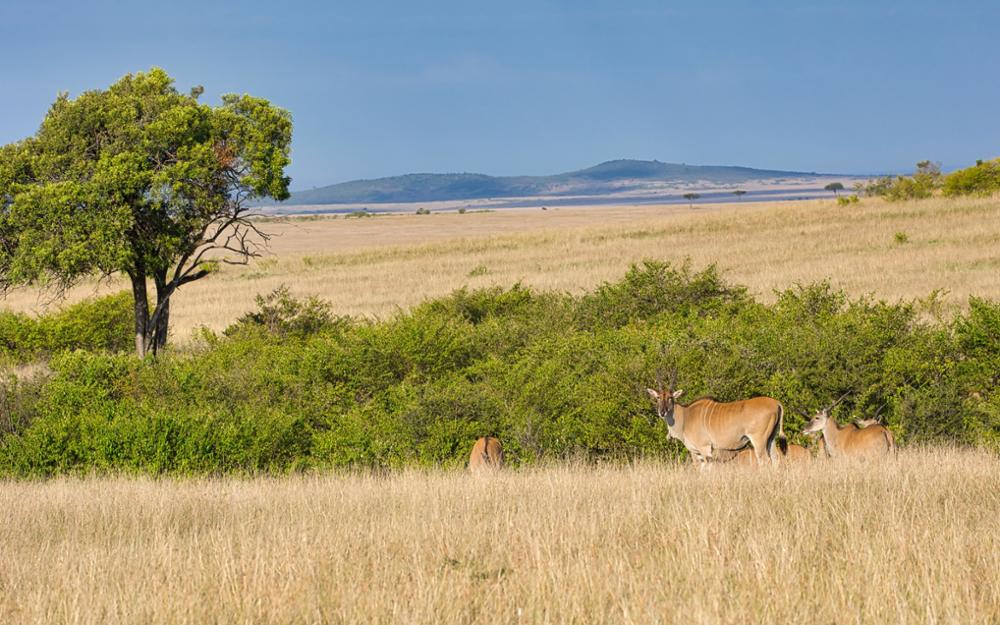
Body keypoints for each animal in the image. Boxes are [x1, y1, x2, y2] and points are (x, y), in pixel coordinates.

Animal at [644, 370, 784, 464]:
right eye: (658, 397)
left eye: (670, 398)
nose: (662, 412)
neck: (685, 416)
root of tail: (776, 403)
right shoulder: (699, 453)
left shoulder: (704, 449)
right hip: (771, 439)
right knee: (776, 459)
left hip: (759, 440)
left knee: (765, 460)